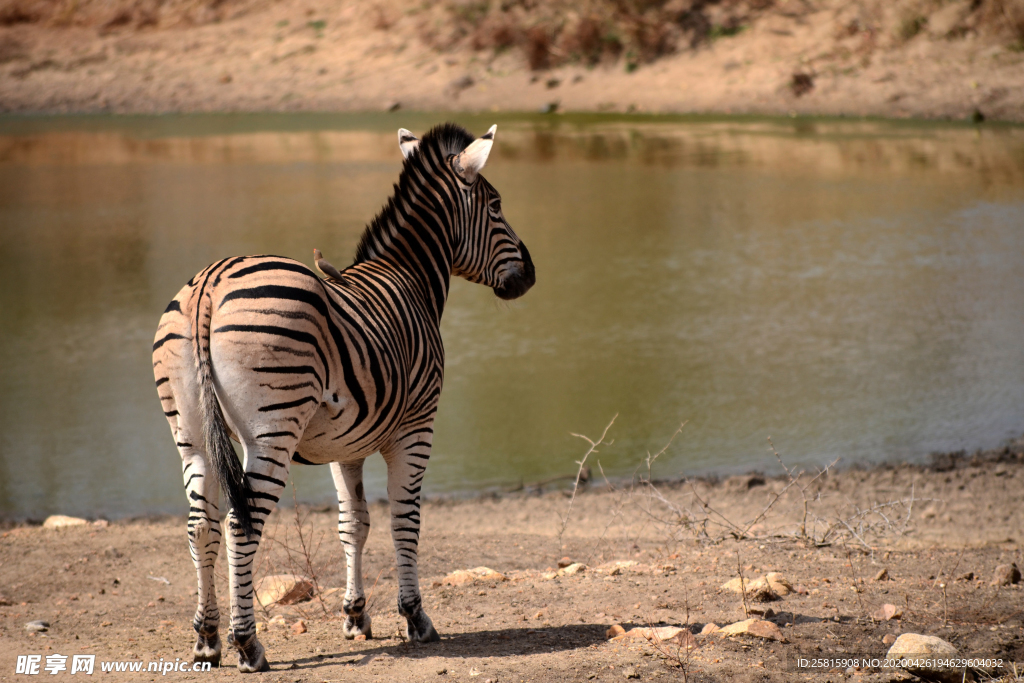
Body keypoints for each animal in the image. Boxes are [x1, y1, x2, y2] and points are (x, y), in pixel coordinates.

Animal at [151, 124, 536, 671]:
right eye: (497, 204)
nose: (530, 275)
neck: (410, 279)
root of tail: (210, 281)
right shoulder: (416, 427)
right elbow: (404, 519)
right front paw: (415, 617)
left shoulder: (344, 446)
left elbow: (353, 523)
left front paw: (355, 616)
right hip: (273, 430)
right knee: (240, 524)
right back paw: (248, 644)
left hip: (191, 433)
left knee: (200, 525)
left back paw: (207, 640)